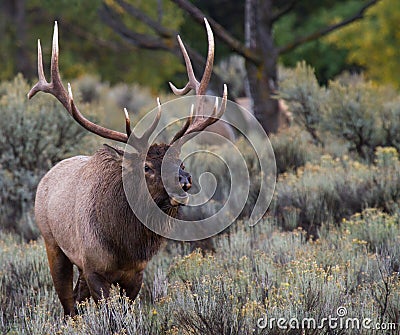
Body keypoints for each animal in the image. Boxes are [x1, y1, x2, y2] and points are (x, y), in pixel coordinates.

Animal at [27, 19, 227, 316]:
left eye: (180, 161)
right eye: (146, 167)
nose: (185, 182)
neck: (124, 247)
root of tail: (46, 177)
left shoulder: (136, 273)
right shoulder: (94, 267)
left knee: (76, 299)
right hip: (52, 242)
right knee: (68, 305)